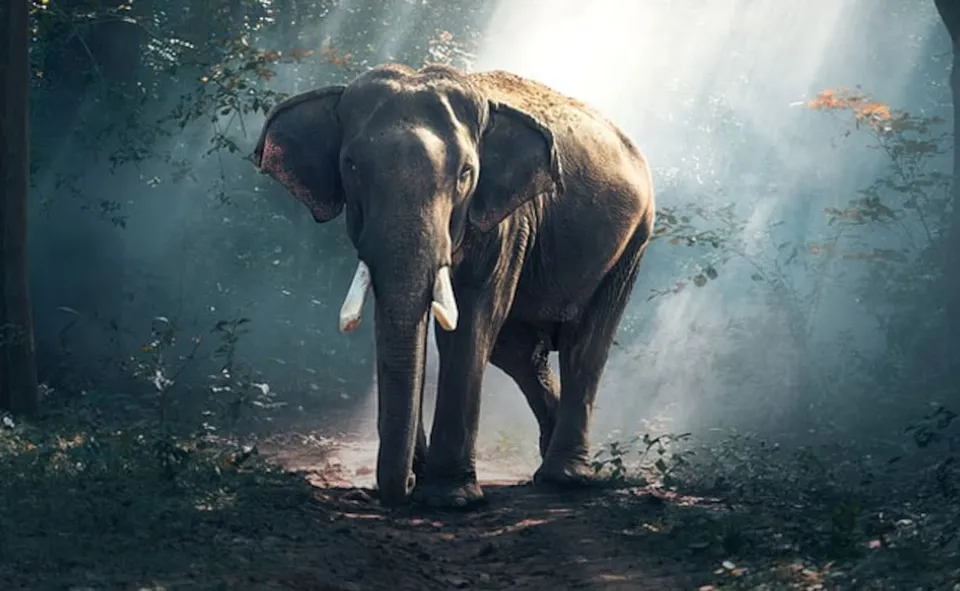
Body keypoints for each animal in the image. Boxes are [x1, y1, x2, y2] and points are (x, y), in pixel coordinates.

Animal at [253, 63, 655, 508]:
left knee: (583, 345)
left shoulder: (506, 221)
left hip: (633, 241)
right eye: (351, 166)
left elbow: (471, 322)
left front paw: (449, 498)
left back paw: (566, 478)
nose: (406, 484)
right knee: (518, 352)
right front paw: (425, 478)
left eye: (466, 173)